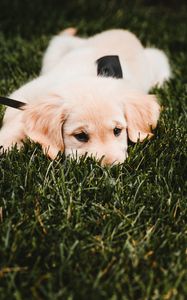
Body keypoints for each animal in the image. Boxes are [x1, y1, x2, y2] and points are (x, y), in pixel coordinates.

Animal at [0, 28, 170, 165]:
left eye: (117, 131)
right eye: (80, 136)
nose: (112, 167)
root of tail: (123, 31)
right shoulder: (26, 93)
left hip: (159, 60)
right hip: (58, 46)